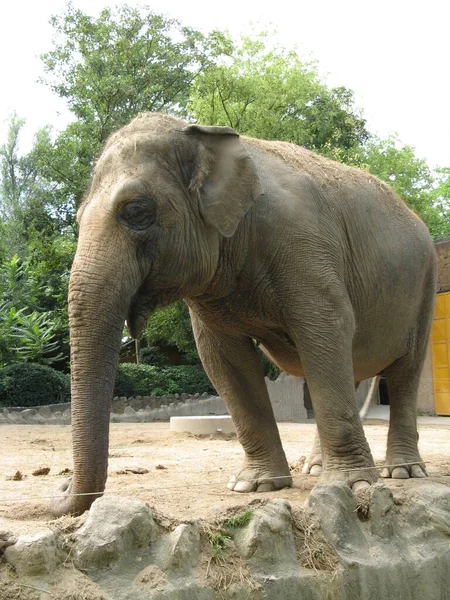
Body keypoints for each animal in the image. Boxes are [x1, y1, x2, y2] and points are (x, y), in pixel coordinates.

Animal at [51, 112, 436, 516]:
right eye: (77, 217)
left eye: (137, 212)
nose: (60, 485)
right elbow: (224, 358)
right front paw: (255, 485)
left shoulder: (302, 243)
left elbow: (327, 330)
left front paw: (352, 486)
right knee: (350, 367)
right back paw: (316, 468)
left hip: (424, 285)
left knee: (404, 371)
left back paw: (405, 472)